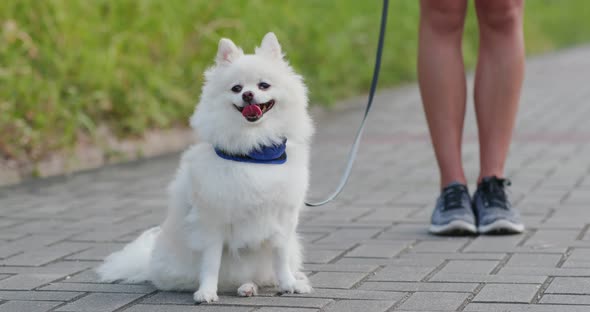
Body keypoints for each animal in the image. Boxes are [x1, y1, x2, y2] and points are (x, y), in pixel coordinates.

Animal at [98, 32, 314, 302]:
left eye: (264, 85)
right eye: (236, 88)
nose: (248, 95)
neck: (254, 151)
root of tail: (148, 265)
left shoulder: (283, 219)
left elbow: (280, 257)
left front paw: (289, 284)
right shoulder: (212, 220)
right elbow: (211, 262)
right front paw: (207, 291)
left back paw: (264, 284)